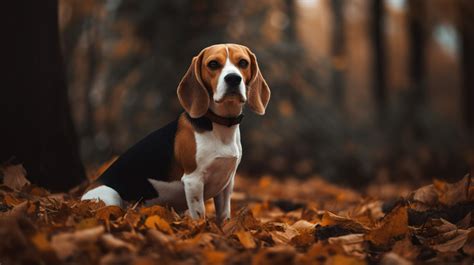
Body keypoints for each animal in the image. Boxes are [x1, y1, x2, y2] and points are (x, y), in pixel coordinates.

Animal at [81, 43, 270, 221]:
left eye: (243, 63)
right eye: (213, 64)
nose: (233, 78)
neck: (220, 125)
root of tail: (82, 196)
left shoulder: (226, 184)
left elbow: (224, 217)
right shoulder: (193, 180)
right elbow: (199, 215)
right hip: (110, 196)